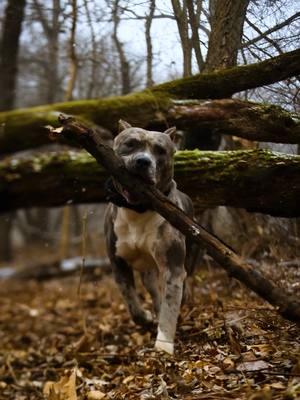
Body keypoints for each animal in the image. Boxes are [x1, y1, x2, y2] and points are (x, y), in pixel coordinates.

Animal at [104, 120, 196, 354]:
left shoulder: (173, 268)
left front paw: (163, 346)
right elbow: (131, 301)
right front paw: (145, 316)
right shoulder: (118, 263)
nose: (142, 161)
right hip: (148, 272)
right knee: (153, 289)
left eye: (160, 150)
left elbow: (170, 307)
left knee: (183, 286)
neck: (138, 210)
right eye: (130, 144)